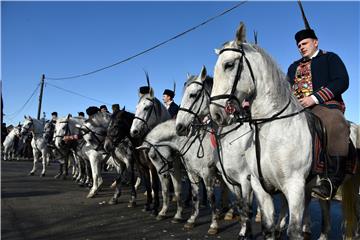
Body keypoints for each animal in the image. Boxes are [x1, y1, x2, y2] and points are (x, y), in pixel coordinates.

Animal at [208, 22, 358, 238]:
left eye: (229, 65)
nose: (216, 114)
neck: (272, 129)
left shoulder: (294, 186)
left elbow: (293, 230)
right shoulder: (260, 187)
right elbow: (268, 228)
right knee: (325, 208)